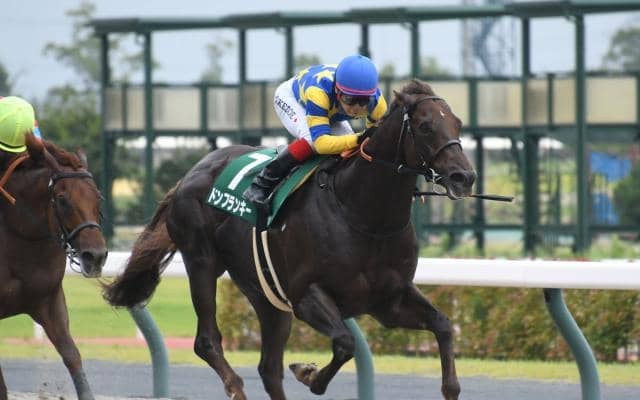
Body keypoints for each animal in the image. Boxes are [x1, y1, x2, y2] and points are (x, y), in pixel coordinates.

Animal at [103, 79, 476, 400]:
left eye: (458, 124)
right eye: (425, 126)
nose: (465, 177)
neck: (362, 214)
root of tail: (190, 174)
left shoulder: (389, 301)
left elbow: (444, 326)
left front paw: (451, 388)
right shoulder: (306, 295)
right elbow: (345, 343)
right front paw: (309, 374)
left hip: (265, 294)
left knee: (269, 368)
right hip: (202, 262)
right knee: (207, 341)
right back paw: (235, 386)